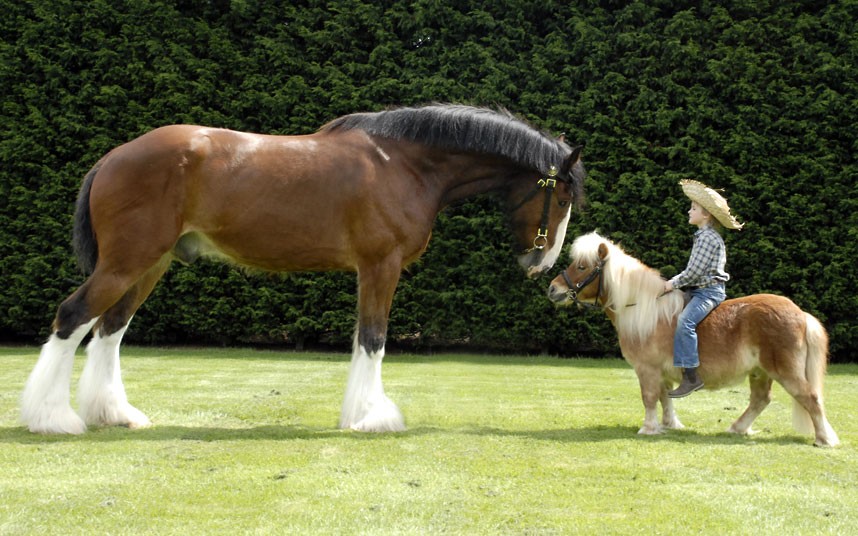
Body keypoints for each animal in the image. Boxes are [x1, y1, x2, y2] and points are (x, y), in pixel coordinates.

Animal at [20, 103, 584, 436]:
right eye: (561, 199)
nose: (540, 263)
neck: (405, 163)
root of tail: (116, 156)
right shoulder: (380, 267)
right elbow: (374, 338)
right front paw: (373, 416)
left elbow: (362, 339)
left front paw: (358, 412)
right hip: (126, 263)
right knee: (72, 317)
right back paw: (52, 418)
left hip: (149, 265)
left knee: (110, 329)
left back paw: (114, 414)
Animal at [548, 232, 836, 446]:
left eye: (582, 266)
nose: (553, 289)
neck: (642, 309)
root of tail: (800, 313)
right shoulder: (662, 371)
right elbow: (665, 397)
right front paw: (669, 425)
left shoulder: (647, 369)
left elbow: (649, 397)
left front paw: (648, 428)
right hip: (760, 371)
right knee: (760, 400)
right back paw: (737, 428)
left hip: (785, 371)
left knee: (810, 397)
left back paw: (824, 439)